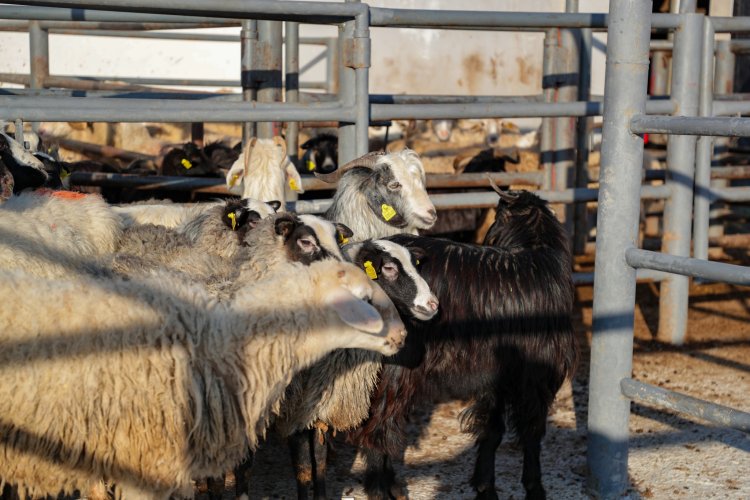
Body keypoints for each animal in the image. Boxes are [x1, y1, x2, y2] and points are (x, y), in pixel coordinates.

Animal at [280, 236, 438, 498]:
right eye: (389, 268)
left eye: (416, 265)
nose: (433, 305)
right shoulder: (296, 406)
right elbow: (303, 464)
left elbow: (322, 457)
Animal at [348, 188, 580, 500]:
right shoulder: (537, 375)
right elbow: (532, 431)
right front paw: (534, 488)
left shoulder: (498, 374)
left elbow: (492, 430)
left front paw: (485, 486)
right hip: (394, 369)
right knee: (378, 426)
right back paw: (381, 488)